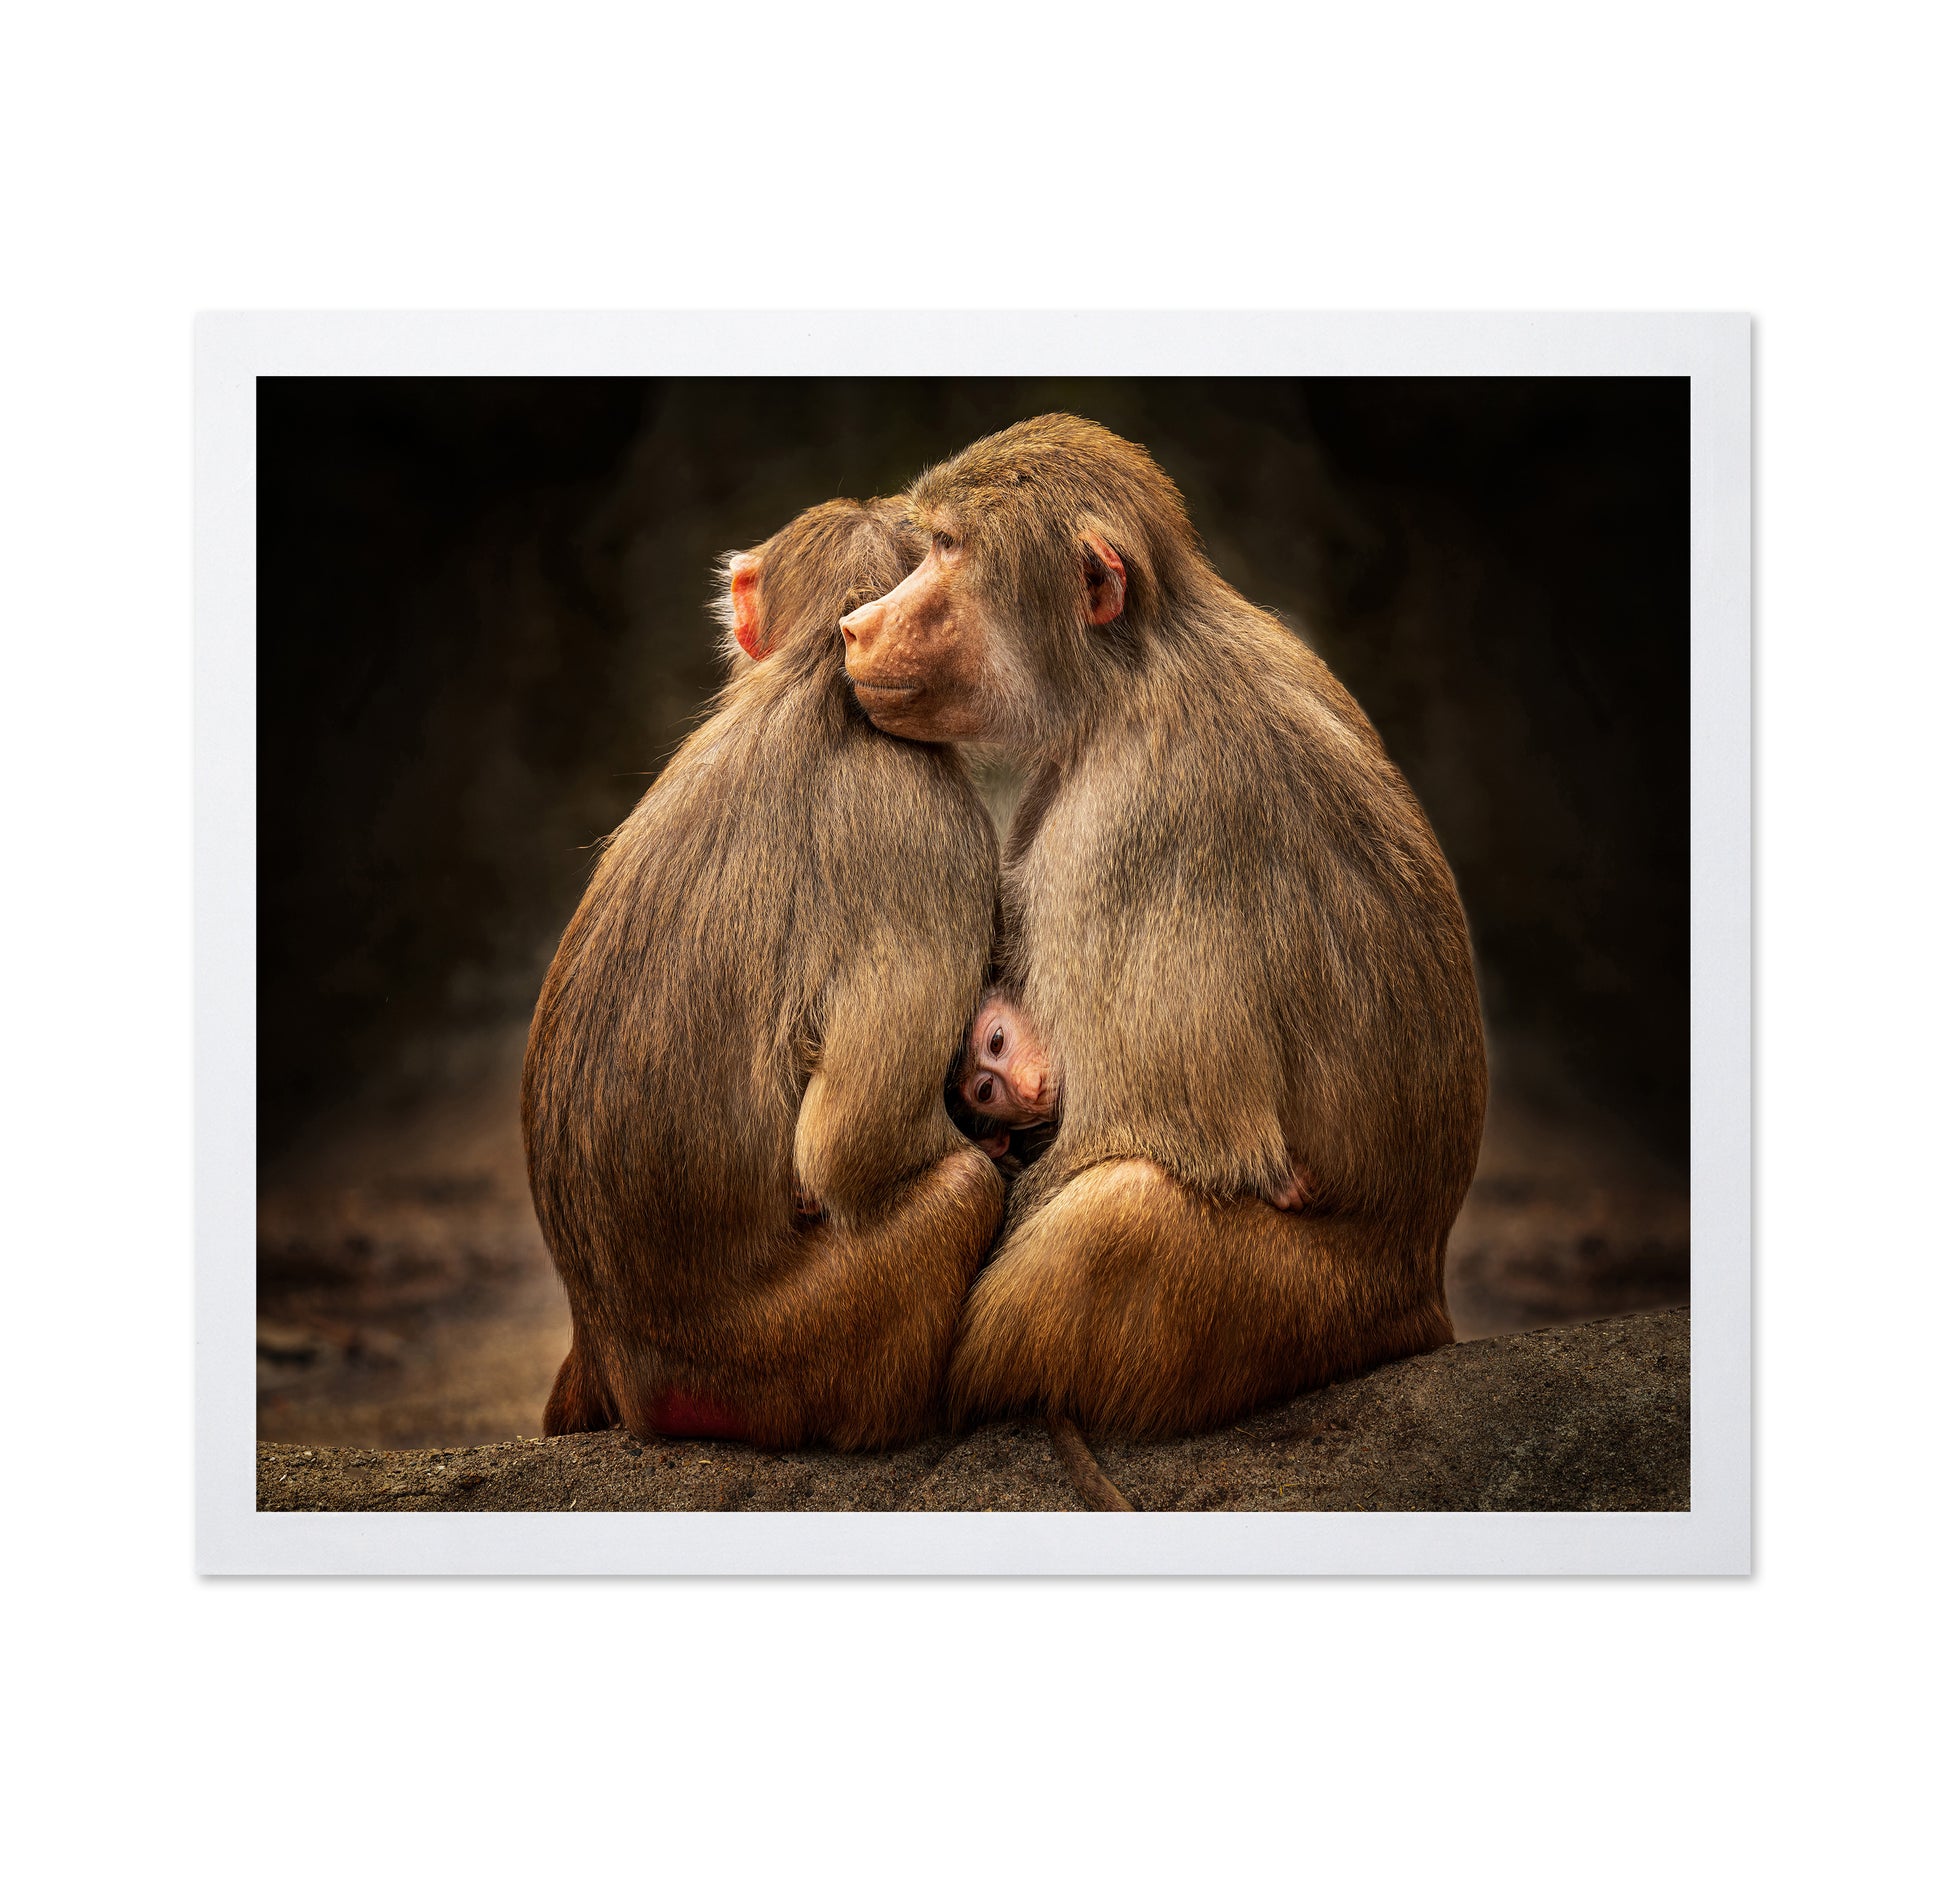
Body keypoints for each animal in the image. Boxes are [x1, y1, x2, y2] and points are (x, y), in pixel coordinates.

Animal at [521, 497, 1005, 1449]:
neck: (819, 675)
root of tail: (621, 1351)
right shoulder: (935, 832)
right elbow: (853, 1147)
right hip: (780, 1362)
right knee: (962, 1190)